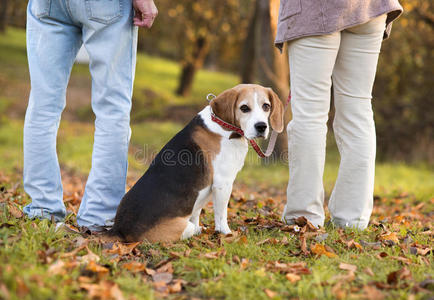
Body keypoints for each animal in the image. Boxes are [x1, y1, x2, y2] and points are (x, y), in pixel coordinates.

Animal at [107, 83, 284, 243]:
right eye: (244, 108)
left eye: (266, 106)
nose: (261, 126)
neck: (223, 125)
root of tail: (119, 230)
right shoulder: (223, 183)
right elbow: (221, 214)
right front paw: (226, 233)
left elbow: (196, 212)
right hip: (181, 226)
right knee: (193, 228)